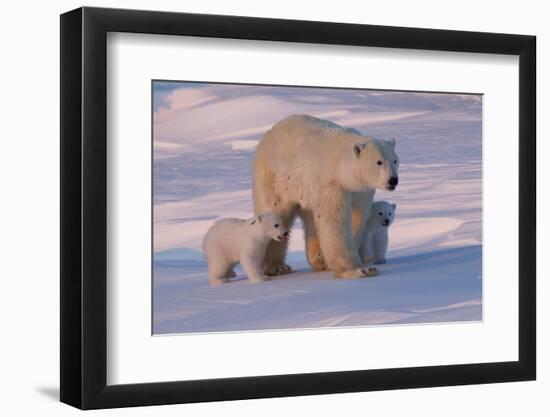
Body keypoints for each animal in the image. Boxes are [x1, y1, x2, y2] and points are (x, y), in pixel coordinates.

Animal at [254, 113, 402, 280]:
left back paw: (319, 260)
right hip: (275, 179)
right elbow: (334, 220)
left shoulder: (361, 190)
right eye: (379, 162)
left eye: (395, 160)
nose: (393, 180)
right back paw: (276, 267)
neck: (339, 164)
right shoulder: (330, 183)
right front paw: (358, 270)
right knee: (276, 212)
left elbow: (357, 218)